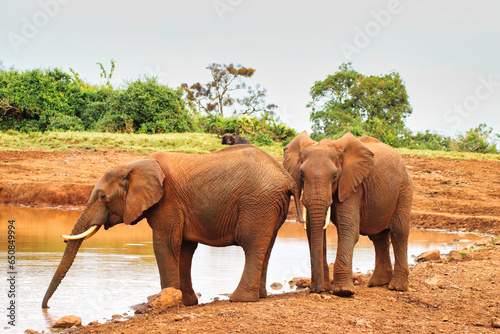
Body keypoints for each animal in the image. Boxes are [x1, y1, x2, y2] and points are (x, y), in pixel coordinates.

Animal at [41, 145, 302, 310]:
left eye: (103, 197)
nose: (45, 307)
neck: (135, 164)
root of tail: (287, 178)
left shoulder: (167, 202)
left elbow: (165, 244)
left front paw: (164, 302)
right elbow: (184, 249)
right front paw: (184, 302)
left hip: (258, 203)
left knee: (252, 246)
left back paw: (240, 300)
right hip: (269, 206)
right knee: (265, 247)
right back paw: (260, 296)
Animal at [284, 132, 412, 296]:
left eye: (334, 176)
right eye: (301, 175)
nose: (316, 290)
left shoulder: (353, 185)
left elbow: (348, 229)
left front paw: (343, 291)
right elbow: (314, 229)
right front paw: (325, 288)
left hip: (404, 188)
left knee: (399, 231)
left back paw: (397, 287)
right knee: (378, 236)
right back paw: (377, 283)